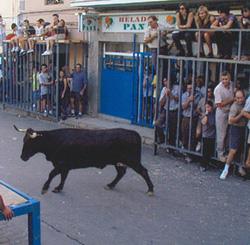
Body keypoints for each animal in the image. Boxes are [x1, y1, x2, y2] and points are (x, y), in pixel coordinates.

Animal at [14, 126, 154, 195]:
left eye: (30, 143)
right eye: (23, 141)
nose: (22, 157)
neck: (54, 140)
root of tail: (133, 133)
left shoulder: (61, 164)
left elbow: (51, 174)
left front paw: (45, 188)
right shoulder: (65, 166)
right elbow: (63, 177)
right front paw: (59, 188)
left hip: (133, 161)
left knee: (143, 171)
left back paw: (151, 190)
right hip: (118, 162)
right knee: (121, 173)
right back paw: (110, 185)